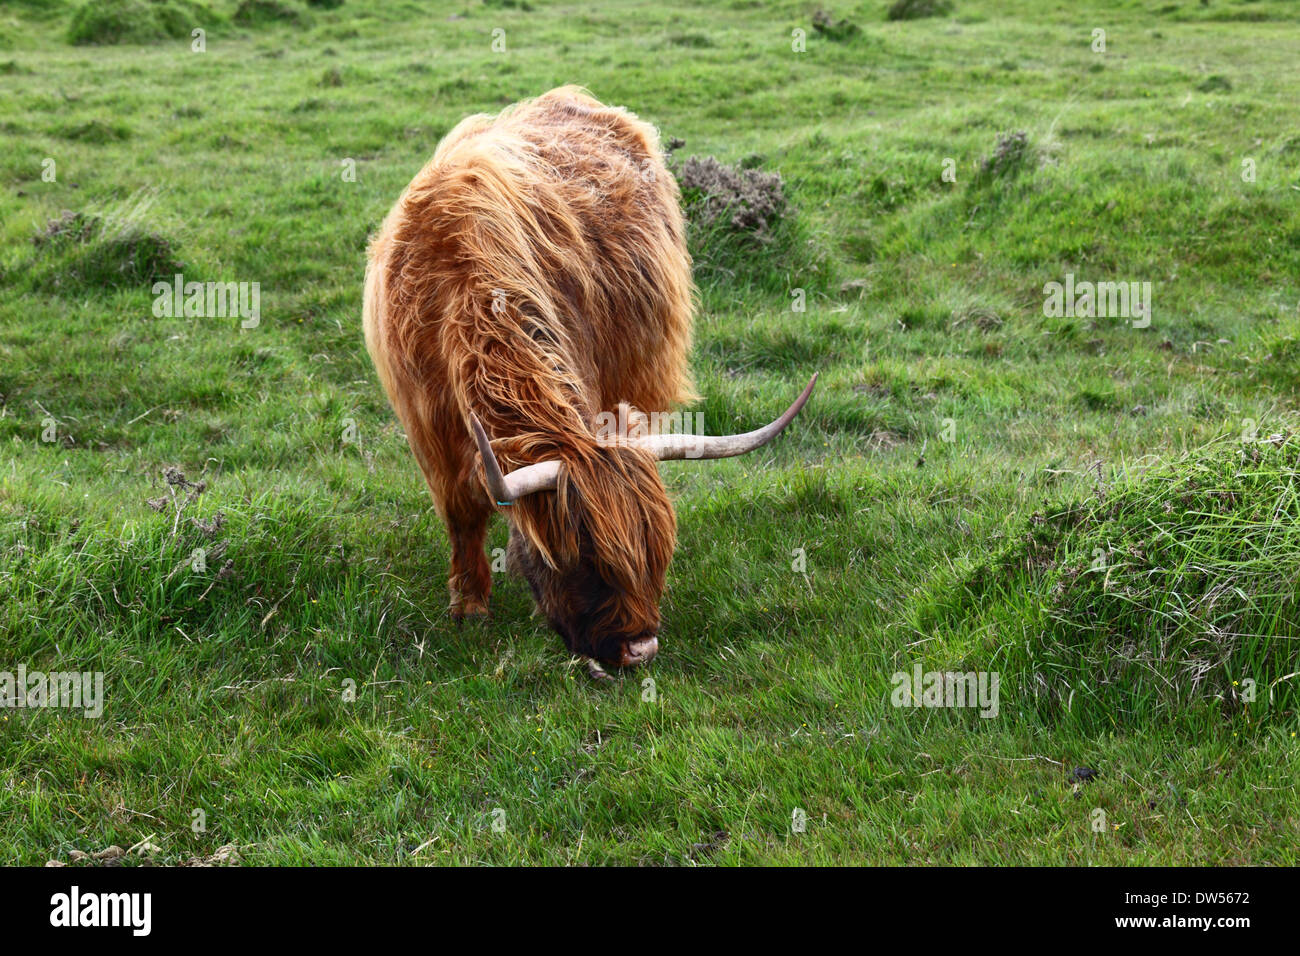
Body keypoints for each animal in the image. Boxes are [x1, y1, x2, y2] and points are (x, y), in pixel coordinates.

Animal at [364, 91, 811, 671]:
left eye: (657, 553)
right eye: (584, 560)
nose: (640, 649)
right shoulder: (426, 424)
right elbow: (461, 513)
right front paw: (469, 607)